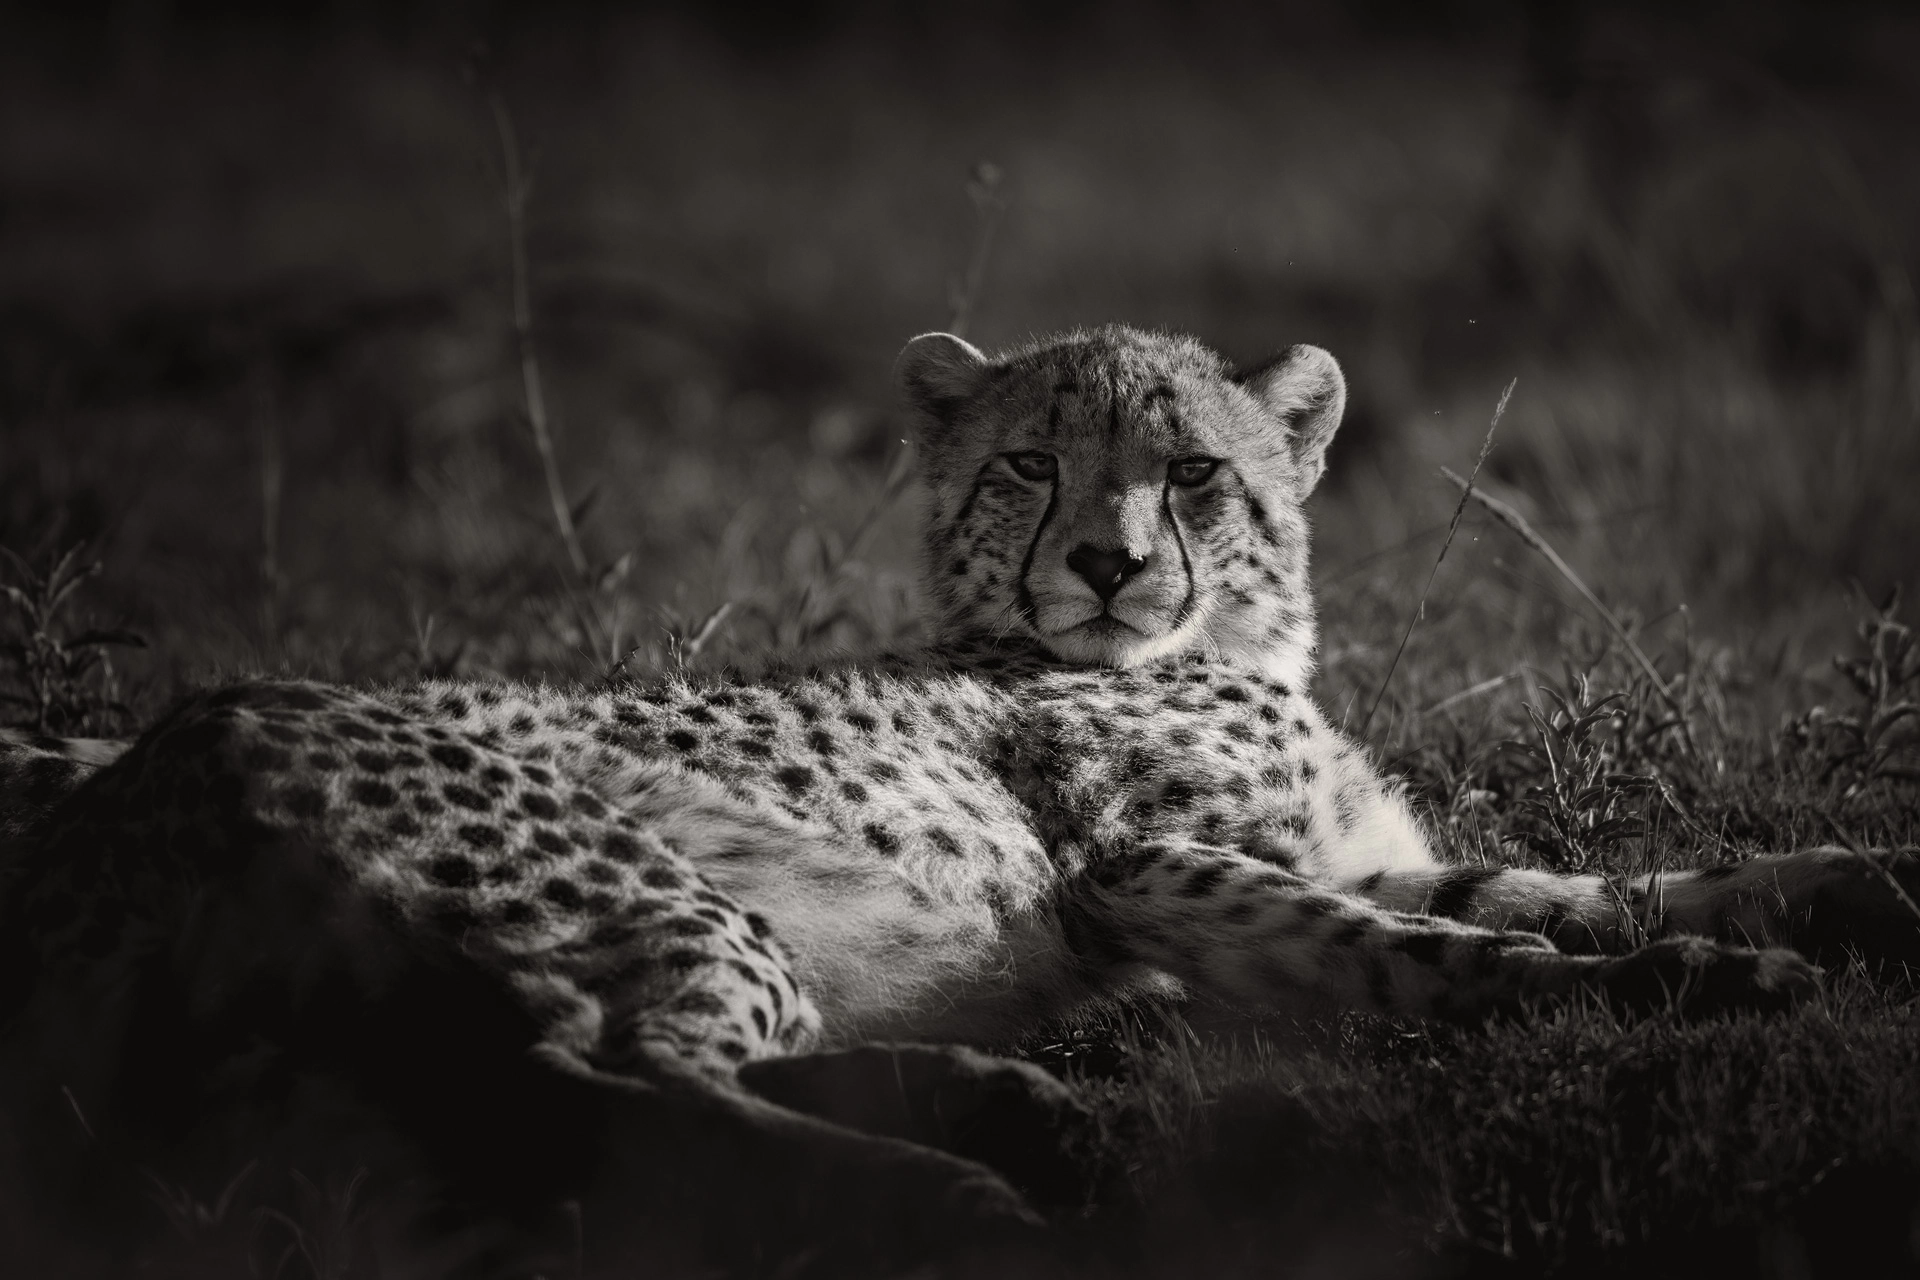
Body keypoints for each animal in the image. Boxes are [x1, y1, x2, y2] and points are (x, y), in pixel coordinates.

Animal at [2, 324, 1916, 1274]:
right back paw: (955, 1191)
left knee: (575, 1077)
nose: (1107, 563)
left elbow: (1561, 890)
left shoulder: (1331, 856)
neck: (1235, 648)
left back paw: (1011, 1103)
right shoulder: (1140, 872)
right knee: (601, 1085)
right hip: (632, 885)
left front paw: (1827, 895)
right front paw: (1680, 981)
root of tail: (145, 766)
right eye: (1029, 465)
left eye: (1195, 475)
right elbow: (1450, 958)